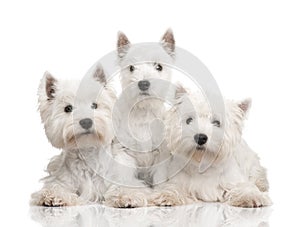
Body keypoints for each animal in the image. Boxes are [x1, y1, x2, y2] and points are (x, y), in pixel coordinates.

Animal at [30, 64, 116, 207]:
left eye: (94, 105)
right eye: (68, 108)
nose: (86, 121)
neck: (87, 154)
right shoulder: (62, 180)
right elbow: (57, 188)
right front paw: (53, 196)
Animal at [104, 29, 177, 207]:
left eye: (159, 66)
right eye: (131, 67)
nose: (143, 84)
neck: (144, 111)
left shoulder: (161, 156)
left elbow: (161, 179)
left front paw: (162, 195)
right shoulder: (124, 153)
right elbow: (125, 178)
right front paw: (127, 196)